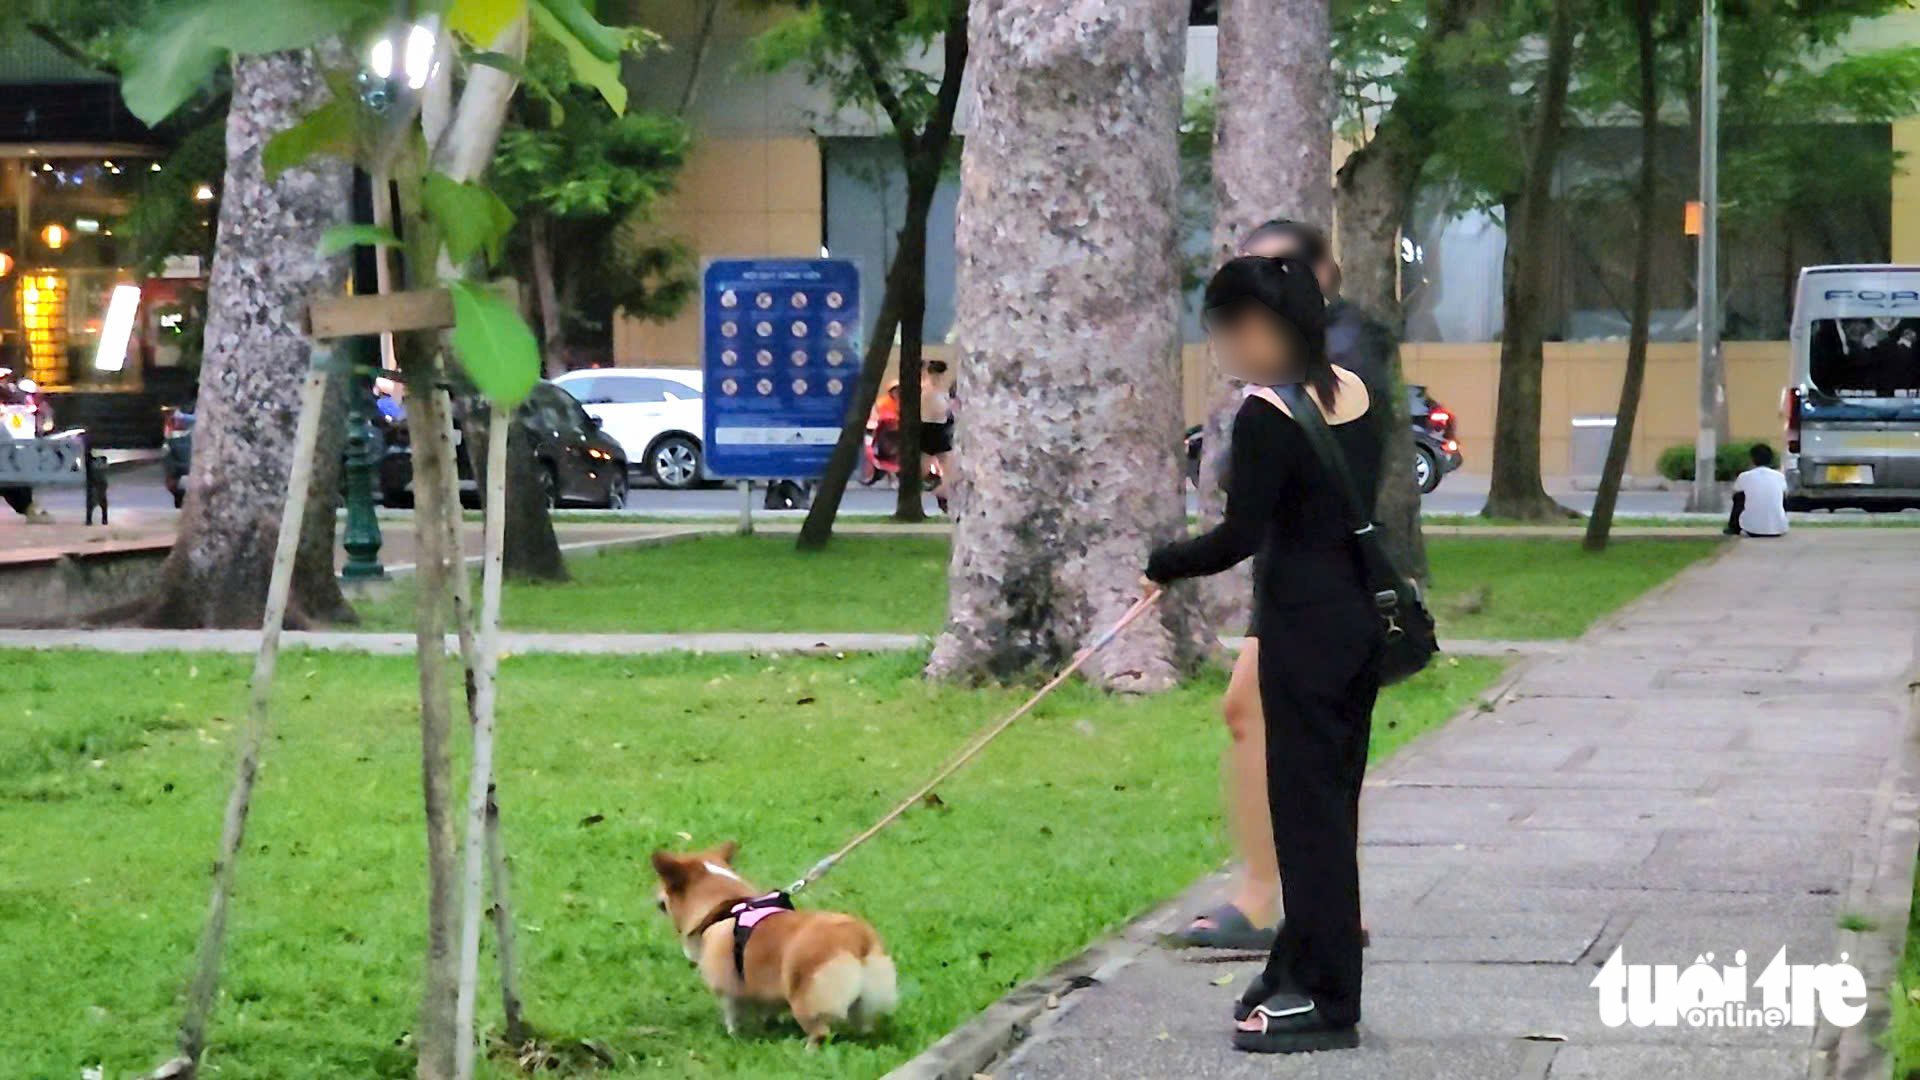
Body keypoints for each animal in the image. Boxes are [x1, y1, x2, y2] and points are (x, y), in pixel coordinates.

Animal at [652, 841, 898, 1045]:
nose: (656, 897)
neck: (726, 905)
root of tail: (859, 940)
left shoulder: (728, 990)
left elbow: (733, 1014)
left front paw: (733, 1035)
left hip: (805, 1000)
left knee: (820, 1032)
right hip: (865, 1000)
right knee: (864, 1023)